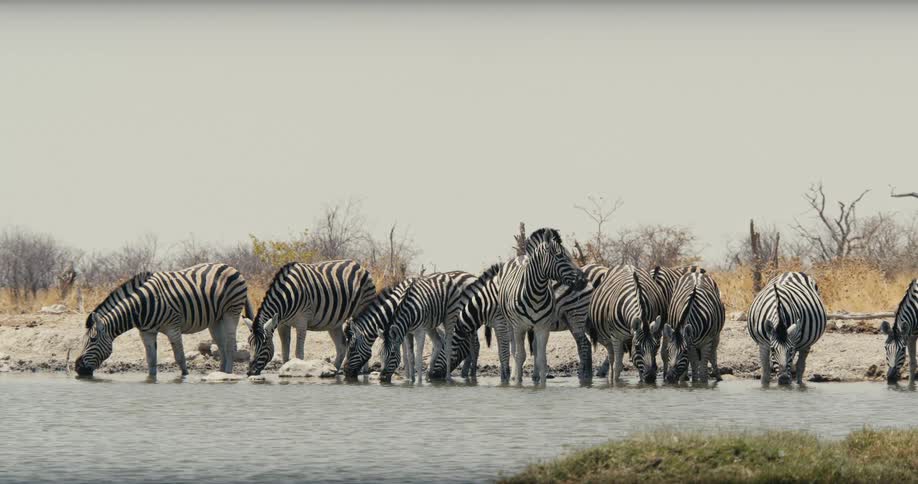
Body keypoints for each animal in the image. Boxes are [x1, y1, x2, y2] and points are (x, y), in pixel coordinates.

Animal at [74, 263, 253, 378]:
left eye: (93, 339)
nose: (77, 368)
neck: (140, 306)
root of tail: (230, 266)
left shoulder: (173, 327)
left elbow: (180, 358)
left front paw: (184, 377)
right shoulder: (146, 333)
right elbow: (151, 360)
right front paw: (151, 379)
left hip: (232, 311)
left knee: (230, 345)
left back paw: (228, 374)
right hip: (215, 319)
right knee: (221, 346)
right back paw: (219, 374)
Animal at [246, 260, 376, 376]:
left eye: (264, 343)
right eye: (249, 342)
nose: (250, 372)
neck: (287, 297)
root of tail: (358, 265)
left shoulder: (302, 322)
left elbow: (298, 353)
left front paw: (296, 368)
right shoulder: (282, 324)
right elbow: (285, 352)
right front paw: (284, 368)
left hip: (362, 306)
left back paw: (363, 370)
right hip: (334, 322)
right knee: (341, 346)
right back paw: (334, 370)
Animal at [498, 228, 587, 385]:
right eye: (560, 256)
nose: (583, 280)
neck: (536, 293)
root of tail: (521, 256)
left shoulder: (542, 327)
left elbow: (541, 358)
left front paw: (541, 385)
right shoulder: (519, 327)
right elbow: (520, 355)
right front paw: (518, 383)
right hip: (510, 323)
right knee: (514, 349)